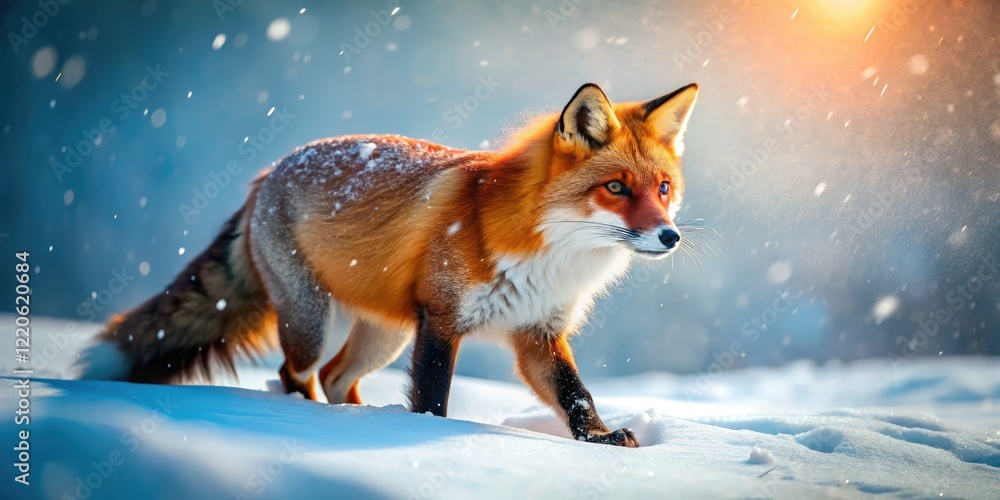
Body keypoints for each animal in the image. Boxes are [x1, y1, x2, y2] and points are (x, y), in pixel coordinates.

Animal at [79, 82, 700, 447]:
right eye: (616, 187)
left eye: (663, 189)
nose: (669, 237)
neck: (550, 254)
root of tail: (268, 173)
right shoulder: (442, 320)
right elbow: (434, 401)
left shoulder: (538, 332)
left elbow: (577, 395)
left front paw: (600, 441)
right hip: (312, 322)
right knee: (295, 375)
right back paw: (314, 421)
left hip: (387, 334)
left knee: (335, 377)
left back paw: (361, 420)